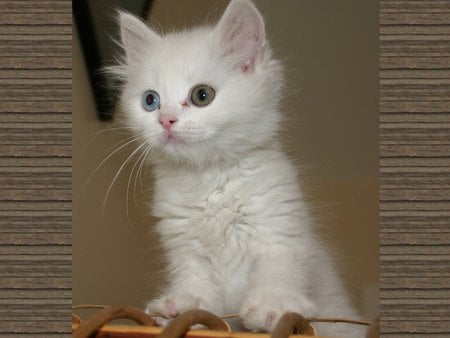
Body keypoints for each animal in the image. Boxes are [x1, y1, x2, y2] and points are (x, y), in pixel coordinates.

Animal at [111, 0, 366, 336]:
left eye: (201, 95)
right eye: (150, 101)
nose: (165, 120)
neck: (209, 182)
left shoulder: (280, 231)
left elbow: (278, 273)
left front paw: (272, 308)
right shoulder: (186, 250)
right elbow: (198, 287)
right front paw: (181, 306)